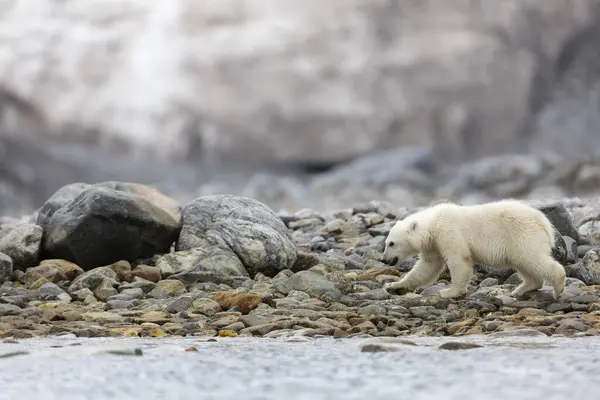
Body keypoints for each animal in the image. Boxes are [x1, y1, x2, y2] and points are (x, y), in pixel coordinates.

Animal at [382, 198, 564, 298]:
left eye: (391, 243)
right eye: (386, 242)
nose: (383, 259)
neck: (434, 222)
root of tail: (543, 222)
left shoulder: (448, 232)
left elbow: (459, 259)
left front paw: (449, 292)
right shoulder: (433, 244)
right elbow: (428, 266)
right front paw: (394, 285)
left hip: (522, 234)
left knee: (532, 258)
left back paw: (558, 287)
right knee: (523, 262)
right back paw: (521, 289)